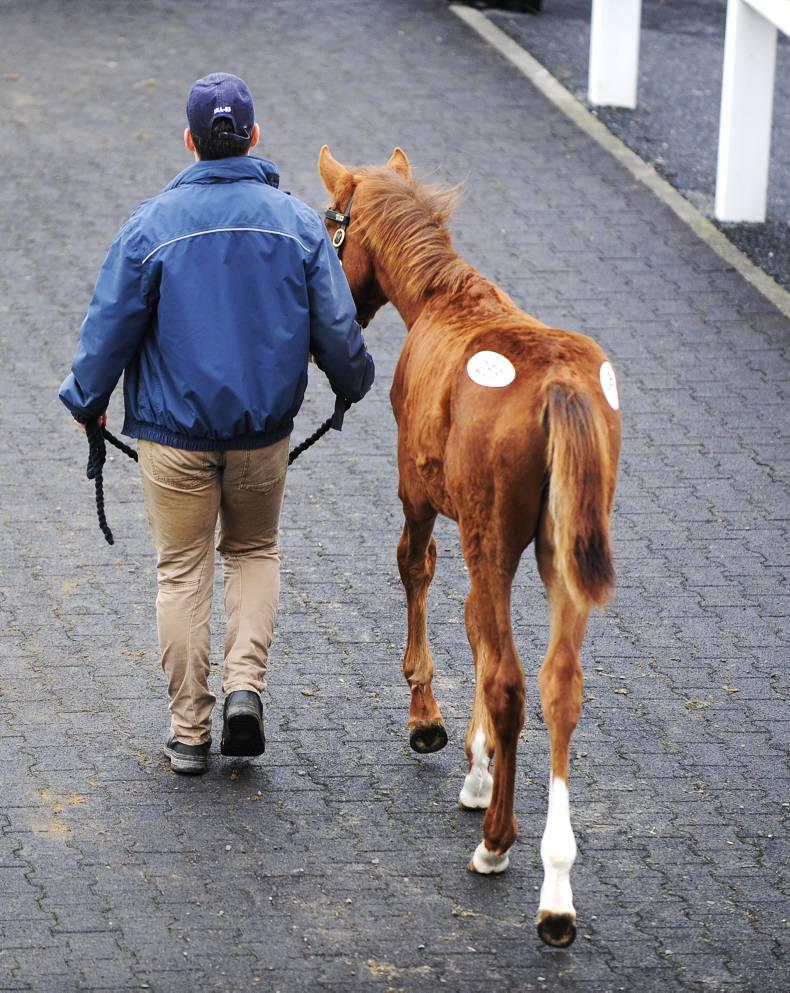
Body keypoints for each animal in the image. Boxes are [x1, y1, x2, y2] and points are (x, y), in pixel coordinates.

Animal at [318, 146, 621, 948]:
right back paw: (555, 891)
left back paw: (497, 843)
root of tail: (559, 388)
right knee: (557, 686)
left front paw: (431, 726)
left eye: (331, 222)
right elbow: (477, 629)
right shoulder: (495, 541)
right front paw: (477, 764)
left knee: (514, 681)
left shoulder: (423, 498)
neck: (446, 297)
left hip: (496, 539)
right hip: (561, 559)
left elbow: (420, 577)